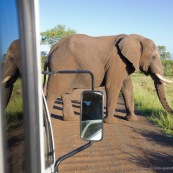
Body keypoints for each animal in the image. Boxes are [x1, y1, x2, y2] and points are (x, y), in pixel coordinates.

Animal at [43, 33, 173, 123]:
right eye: (154, 57)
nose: (170, 113)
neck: (134, 37)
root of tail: (51, 51)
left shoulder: (125, 64)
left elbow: (128, 88)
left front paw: (132, 119)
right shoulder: (117, 62)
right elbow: (113, 87)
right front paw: (111, 122)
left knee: (66, 92)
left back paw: (71, 119)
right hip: (60, 65)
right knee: (53, 92)